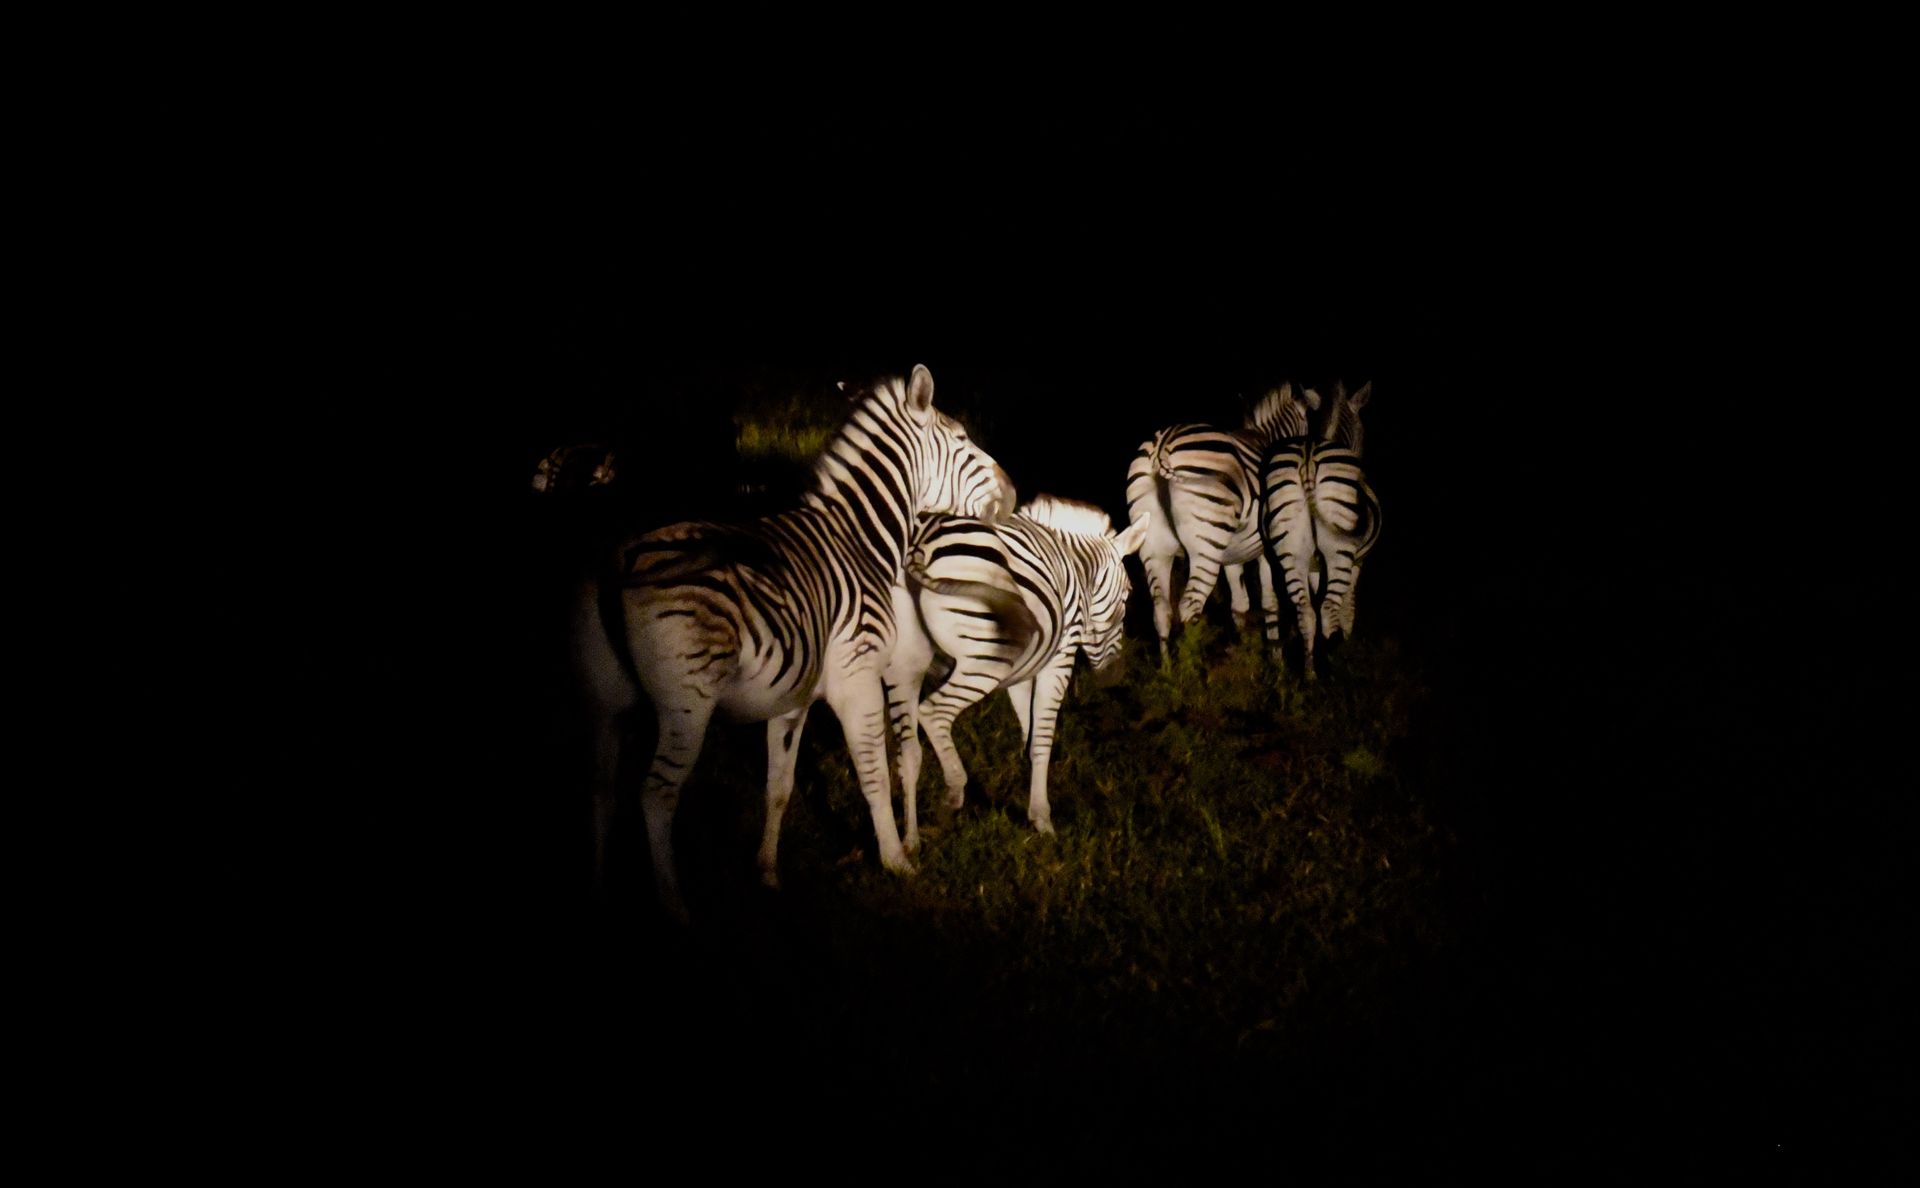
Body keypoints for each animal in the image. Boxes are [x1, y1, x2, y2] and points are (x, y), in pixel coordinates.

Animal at [571, 365, 1016, 922]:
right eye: (960, 439)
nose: (1014, 494)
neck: (860, 541)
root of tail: (619, 560)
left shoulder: (792, 697)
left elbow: (779, 785)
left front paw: (766, 872)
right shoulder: (858, 677)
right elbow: (874, 774)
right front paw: (896, 860)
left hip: (603, 700)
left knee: (600, 788)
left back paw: (597, 892)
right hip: (686, 703)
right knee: (654, 795)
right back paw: (675, 907)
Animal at [884, 494, 1149, 847]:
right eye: (1129, 593)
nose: (1114, 675)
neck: (1077, 566)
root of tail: (922, 544)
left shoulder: (1021, 675)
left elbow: (1029, 736)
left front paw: (1031, 809)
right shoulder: (1059, 658)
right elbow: (1043, 737)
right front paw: (1044, 822)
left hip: (905, 664)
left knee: (908, 752)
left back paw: (911, 841)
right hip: (985, 660)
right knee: (934, 714)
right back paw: (954, 791)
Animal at [1124, 383, 1320, 659]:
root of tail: (1161, 446)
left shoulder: (1233, 554)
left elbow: (1240, 605)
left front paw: (1244, 655)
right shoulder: (1264, 549)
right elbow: (1269, 603)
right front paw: (1275, 660)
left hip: (1155, 547)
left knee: (1161, 612)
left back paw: (1168, 670)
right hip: (1205, 545)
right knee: (1189, 606)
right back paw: (1193, 667)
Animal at [1260, 381, 1379, 679]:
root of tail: (1308, 460)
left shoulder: (1314, 566)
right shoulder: (1358, 561)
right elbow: (1348, 609)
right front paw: (1344, 645)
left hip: (1290, 551)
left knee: (1306, 610)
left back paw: (1310, 673)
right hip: (1340, 551)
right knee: (1328, 607)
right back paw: (1333, 666)